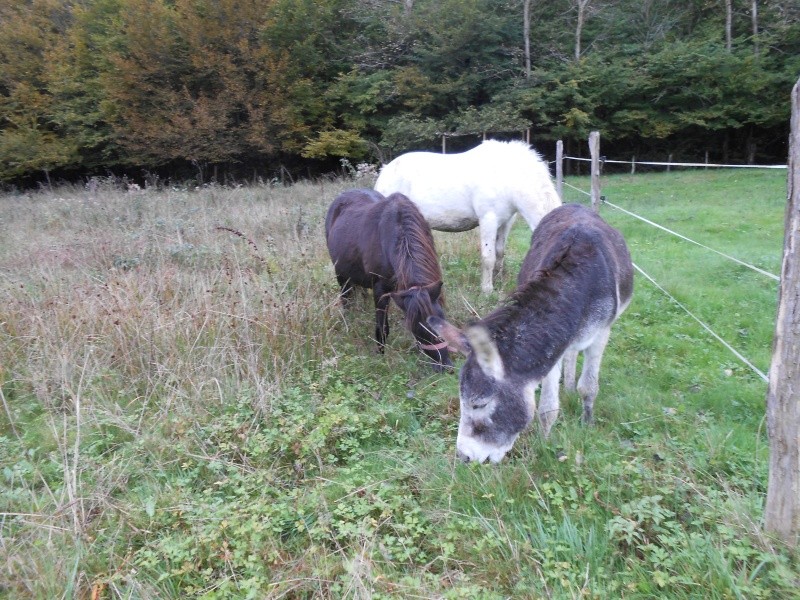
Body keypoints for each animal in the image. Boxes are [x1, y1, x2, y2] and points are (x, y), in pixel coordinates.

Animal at [324, 190, 450, 372]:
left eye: (442, 321)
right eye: (418, 330)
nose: (445, 366)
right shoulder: (381, 290)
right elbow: (382, 327)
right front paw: (381, 354)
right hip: (341, 276)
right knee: (346, 299)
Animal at [376, 139, 560, 292]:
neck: (507, 178)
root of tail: (385, 171)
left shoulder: (506, 222)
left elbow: (500, 253)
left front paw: (498, 282)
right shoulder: (488, 220)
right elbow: (488, 256)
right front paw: (487, 289)